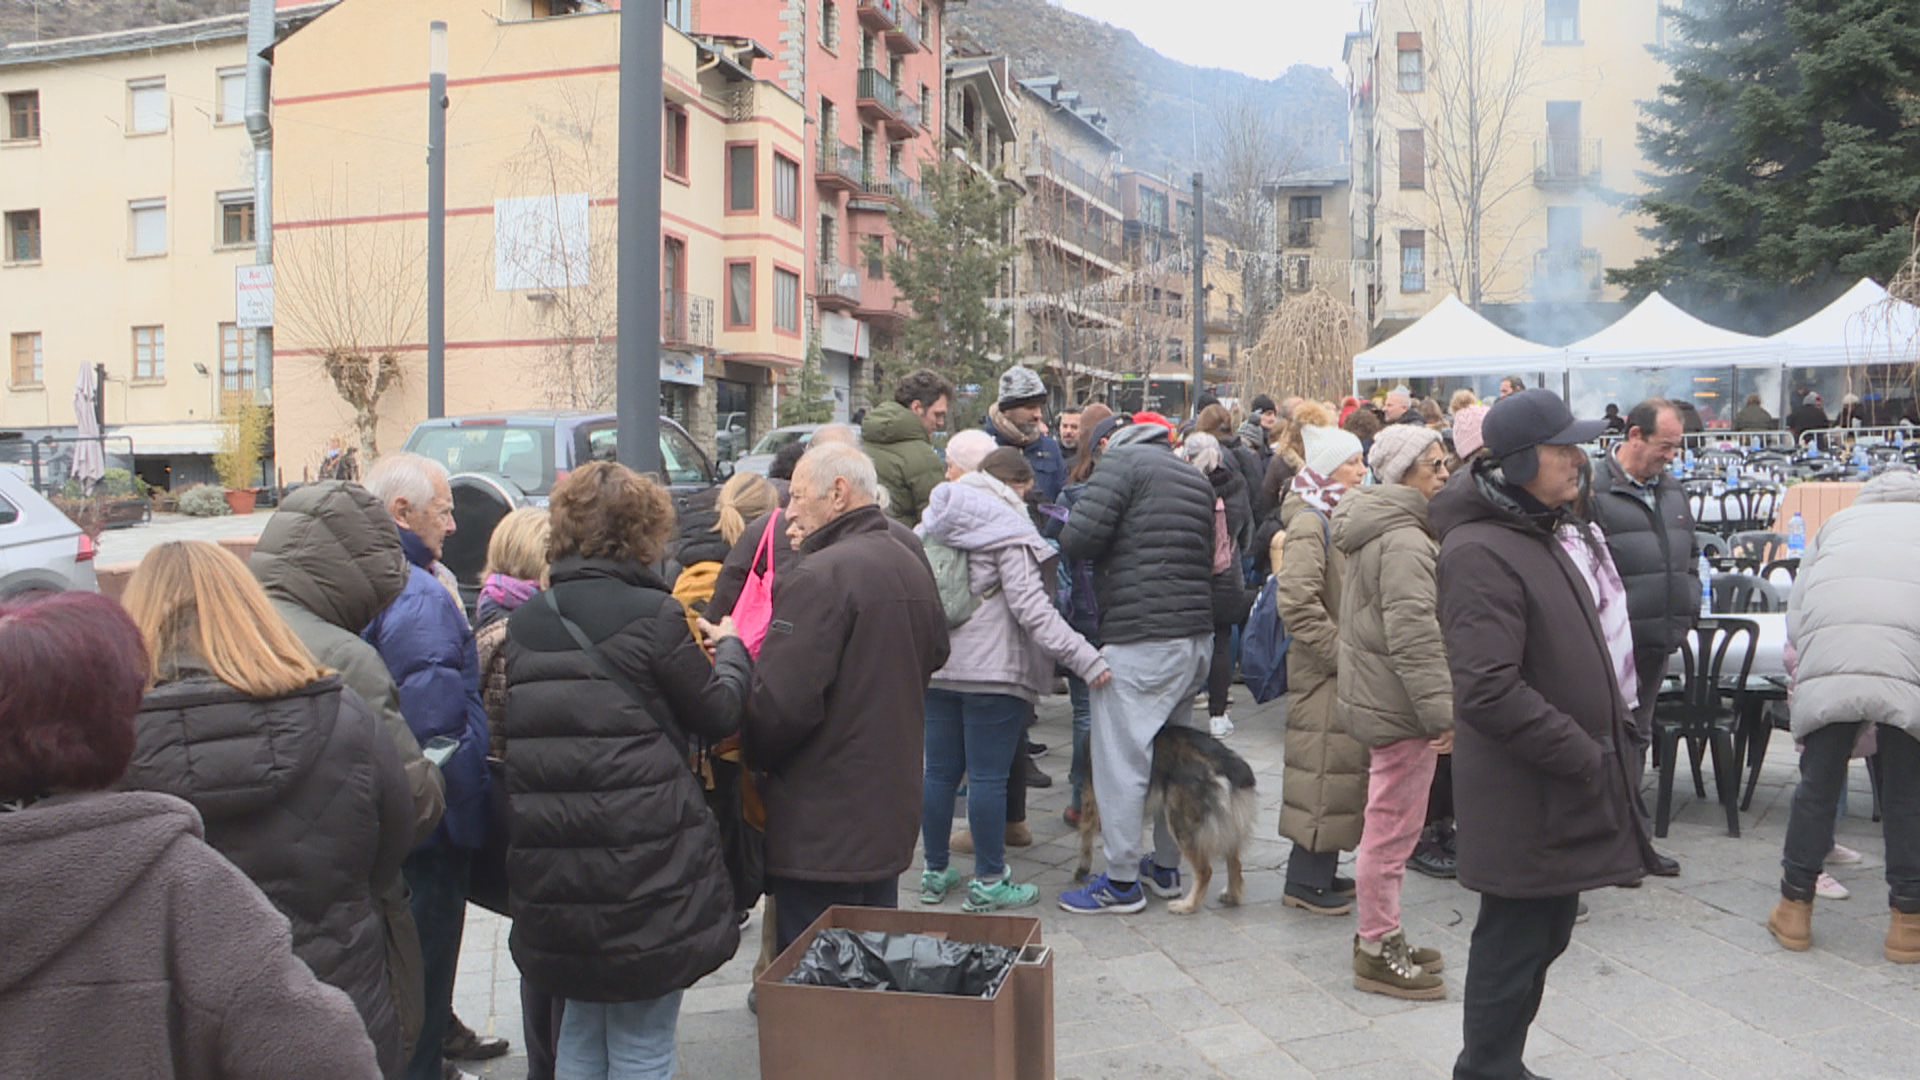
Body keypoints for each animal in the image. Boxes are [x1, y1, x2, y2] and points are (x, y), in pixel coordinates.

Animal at [1082, 722, 1259, 907]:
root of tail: (1226, 762)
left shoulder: (1093, 799)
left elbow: (1086, 834)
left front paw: (1082, 869)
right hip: (1227, 825)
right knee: (1235, 863)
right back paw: (1232, 895)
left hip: (1180, 822)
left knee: (1205, 871)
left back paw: (1187, 905)